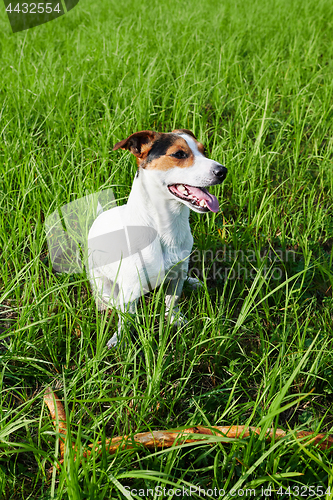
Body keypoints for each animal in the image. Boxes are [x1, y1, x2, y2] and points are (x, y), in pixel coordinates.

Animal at [86, 129, 226, 348]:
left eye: (204, 150)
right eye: (179, 154)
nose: (223, 171)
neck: (166, 229)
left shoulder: (176, 275)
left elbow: (172, 301)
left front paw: (175, 318)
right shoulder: (130, 289)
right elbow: (126, 319)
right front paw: (121, 339)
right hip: (102, 283)